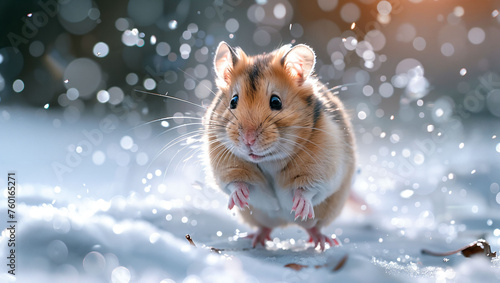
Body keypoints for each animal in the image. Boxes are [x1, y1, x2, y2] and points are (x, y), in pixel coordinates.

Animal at [203, 41, 356, 251]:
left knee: (312, 227)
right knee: (265, 227)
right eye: (233, 101)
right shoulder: (226, 165)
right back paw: (255, 239)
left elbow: (308, 189)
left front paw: (299, 207)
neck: (270, 160)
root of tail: (285, 223)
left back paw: (323, 241)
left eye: (276, 102)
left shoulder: (323, 170)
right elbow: (236, 183)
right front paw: (239, 200)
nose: (248, 140)